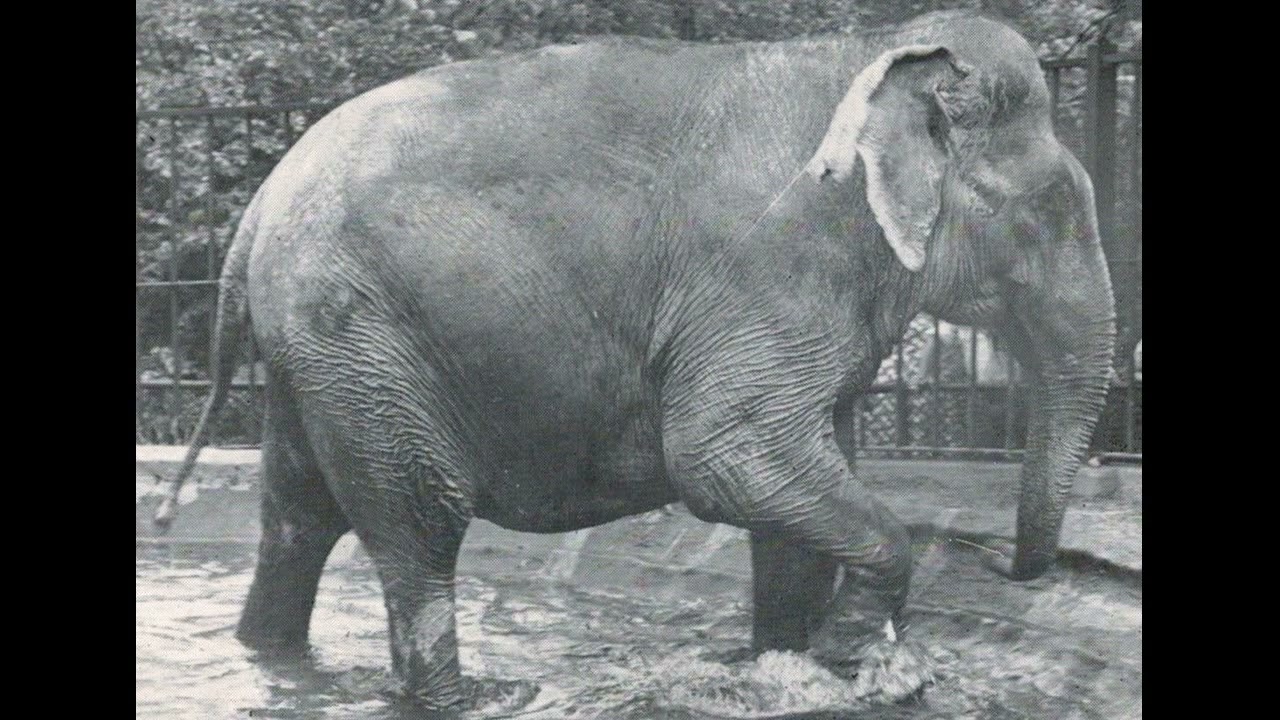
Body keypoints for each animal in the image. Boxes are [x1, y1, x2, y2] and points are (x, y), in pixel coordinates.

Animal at [158, 9, 1116, 711]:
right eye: (1050, 212)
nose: (1001, 564)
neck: (872, 53)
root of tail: (257, 208)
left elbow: (800, 487)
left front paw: (795, 668)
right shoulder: (775, 267)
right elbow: (726, 457)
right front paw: (862, 662)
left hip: (320, 355)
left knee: (297, 518)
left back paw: (276, 660)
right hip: (361, 336)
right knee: (420, 523)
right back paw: (476, 696)